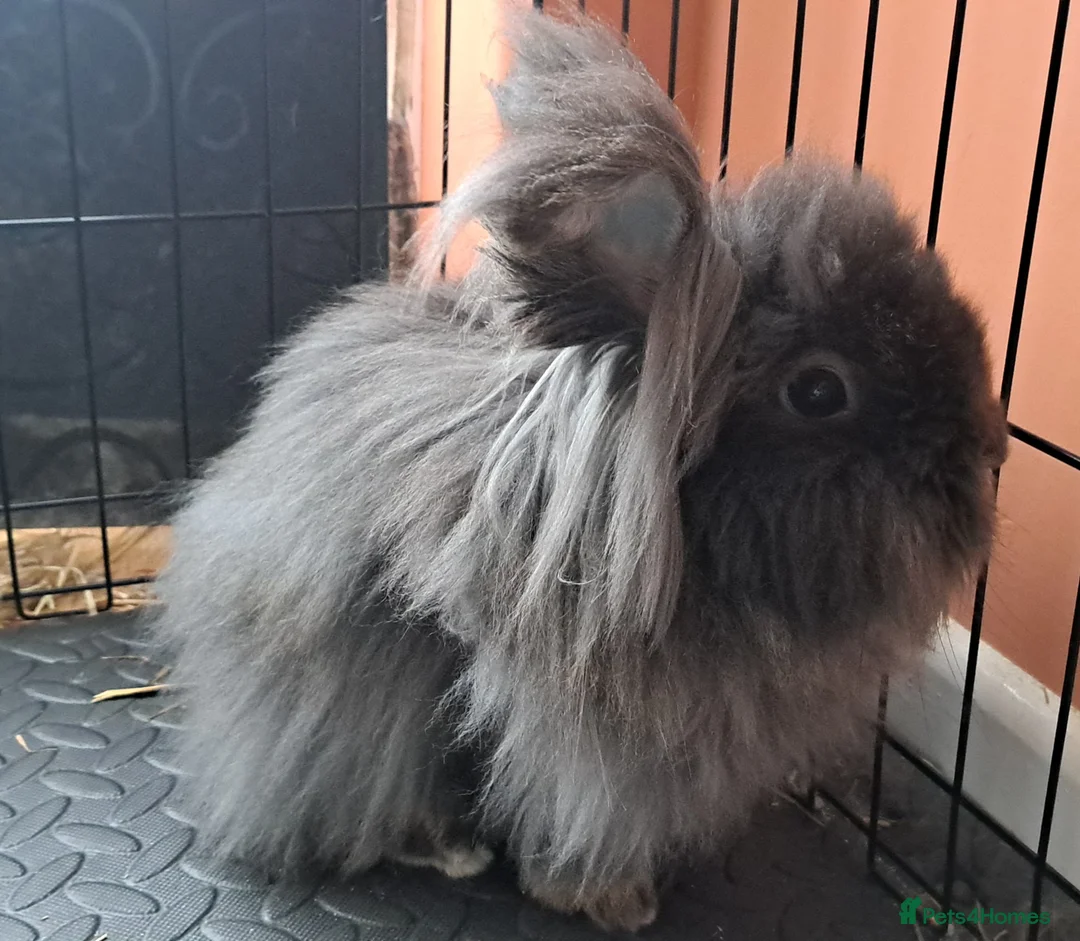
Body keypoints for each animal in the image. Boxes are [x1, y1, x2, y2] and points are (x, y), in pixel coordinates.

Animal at [149, 6, 1008, 934]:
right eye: (819, 390)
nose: (990, 449)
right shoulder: (587, 751)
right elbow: (573, 813)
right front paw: (612, 900)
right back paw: (449, 849)